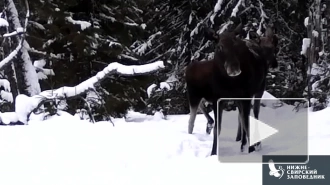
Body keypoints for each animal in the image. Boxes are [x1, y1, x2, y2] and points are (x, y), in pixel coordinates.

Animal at [186, 23, 278, 155]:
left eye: (237, 46)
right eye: (220, 47)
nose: (234, 68)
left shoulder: (244, 96)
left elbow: (246, 122)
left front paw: (250, 148)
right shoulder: (219, 99)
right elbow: (219, 128)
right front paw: (213, 153)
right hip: (195, 95)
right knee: (192, 119)